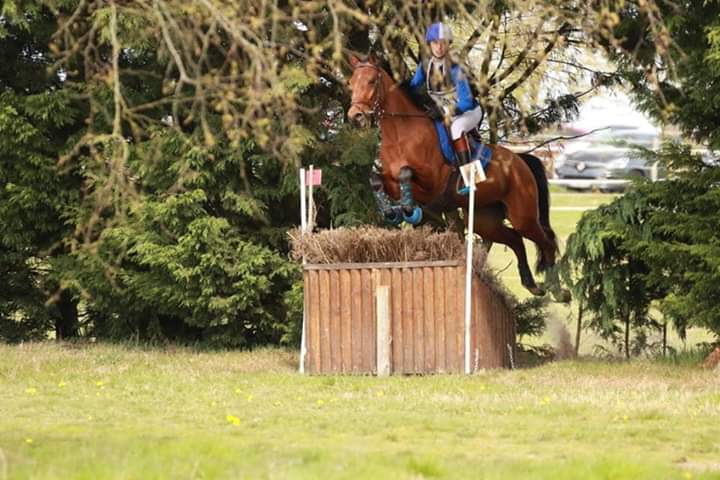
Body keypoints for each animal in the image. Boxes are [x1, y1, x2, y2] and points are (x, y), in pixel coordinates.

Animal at [346, 55, 560, 296]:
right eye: (351, 84)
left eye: (372, 81)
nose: (355, 116)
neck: (400, 135)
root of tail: (520, 160)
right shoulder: (389, 180)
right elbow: (376, 179)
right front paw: (391, 212)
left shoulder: (433, 182)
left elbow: (405, 173)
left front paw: (410, 211)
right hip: (484, 219)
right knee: (515, 239)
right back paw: (531, 283)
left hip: (523, 215)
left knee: (545, 241)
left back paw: (557, 288)